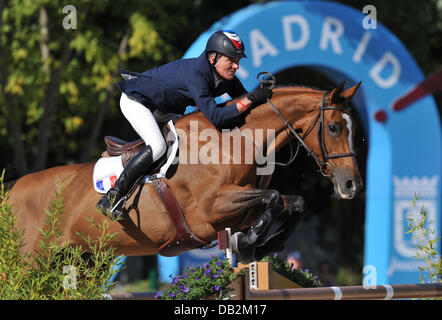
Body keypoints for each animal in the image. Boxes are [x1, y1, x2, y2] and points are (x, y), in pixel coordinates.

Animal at [6, 80, 362, 262]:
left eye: (353, 129)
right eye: (333, 127)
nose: (351, 186)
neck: (233, 140)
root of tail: (11, 190)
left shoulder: (240, 204)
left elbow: (293, 201)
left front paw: (262, 244)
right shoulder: (211, 209)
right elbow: (274, 197)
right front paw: (250, 241)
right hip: (28, 261)